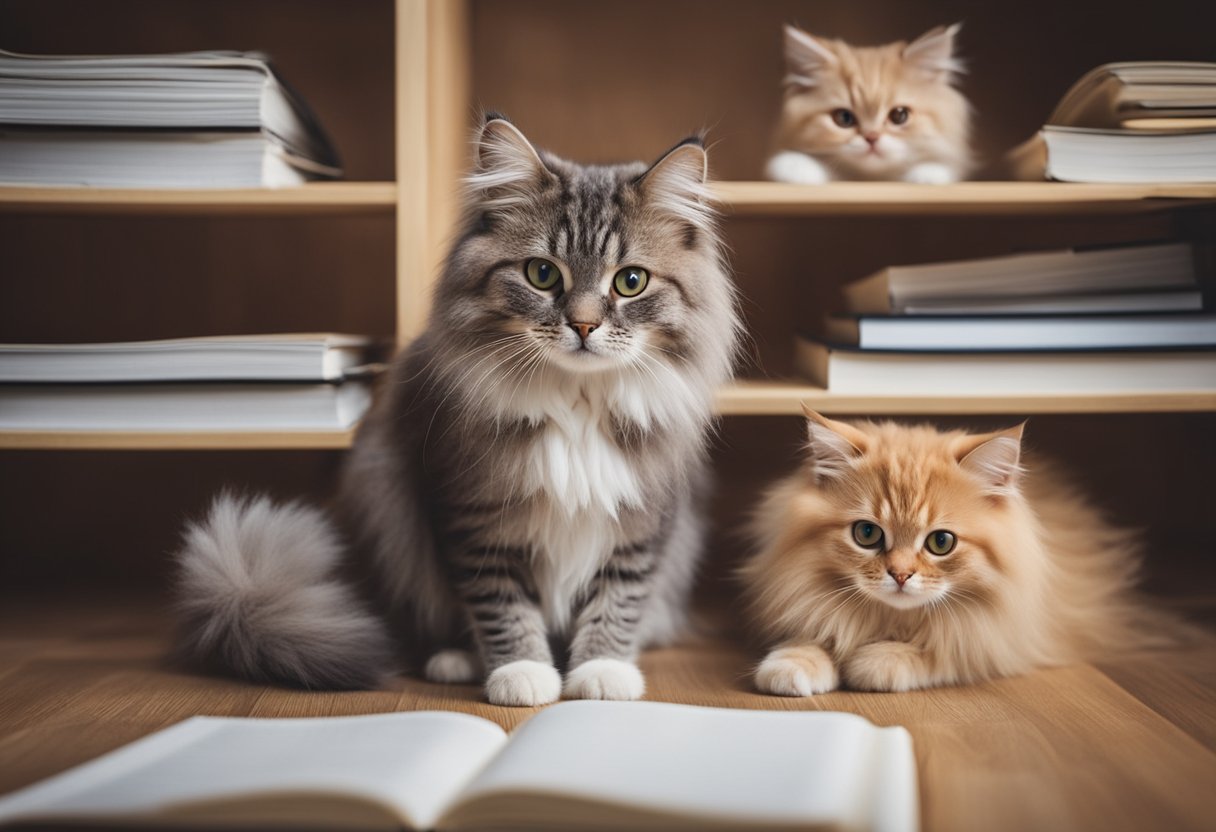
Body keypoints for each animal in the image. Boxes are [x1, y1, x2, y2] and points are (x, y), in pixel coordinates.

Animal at [173, 113, 739, 705]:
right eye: (542, 274)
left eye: (631, 282)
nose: (583, 326)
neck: (575, 403)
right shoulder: (472, 513)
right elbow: (501, 606)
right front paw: (522, 674)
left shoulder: (647, 519)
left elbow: (619, 599)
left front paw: (601, 671)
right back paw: (455, 660)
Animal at [739, 411, 1177, 695]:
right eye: (867, 534)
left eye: (941, 543)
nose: (900, 575)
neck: (891, 620)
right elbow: (814, 633)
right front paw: (793, 664)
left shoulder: (1004, 636)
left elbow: (946, 651)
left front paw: (876, 661)